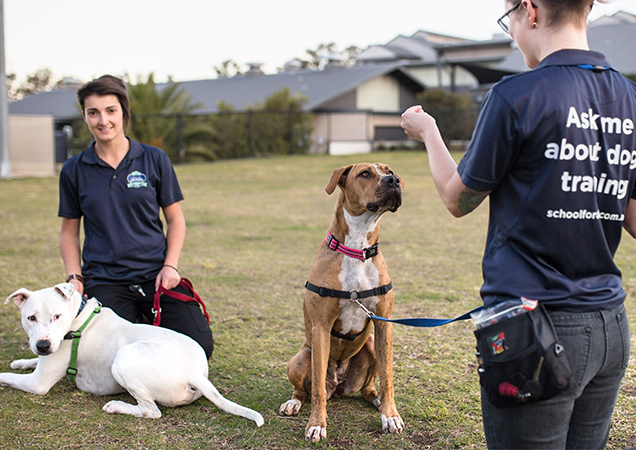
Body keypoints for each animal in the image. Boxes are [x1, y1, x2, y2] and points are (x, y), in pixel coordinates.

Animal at [0, 283, 264, 426]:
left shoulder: (37, 383)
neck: (78, 318)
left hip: (124, 357)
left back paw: (117, 406)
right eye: (30, 318)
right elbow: (29, 361)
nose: (43, 345)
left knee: (151, 410)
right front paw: (20, 361)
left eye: (57, 316)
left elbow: (4, 376)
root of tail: (195, 374)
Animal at [279, 163, 405, 442]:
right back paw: (293, 403)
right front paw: (317, 424)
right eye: (365, 173)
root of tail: (337, 386)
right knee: (305, 391)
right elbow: (316, 389)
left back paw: (377, 402)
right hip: (301, 357)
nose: (394, 181)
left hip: (371, 346)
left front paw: (390, 416)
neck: (357, 248)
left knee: (369, 388)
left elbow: (388, 379)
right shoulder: (321, 327)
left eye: (389, 170)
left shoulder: (384, 326)